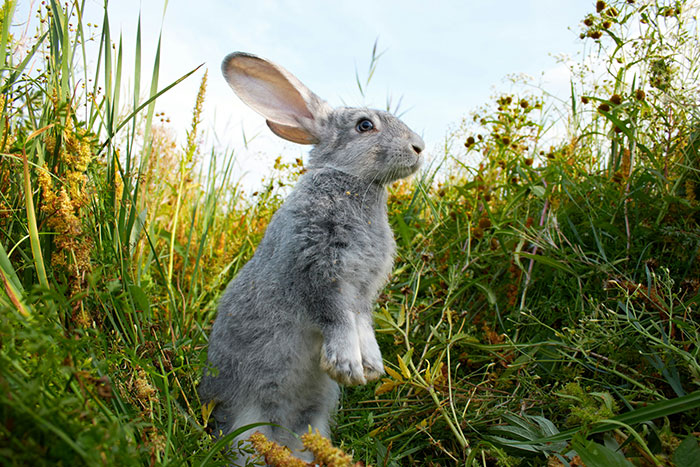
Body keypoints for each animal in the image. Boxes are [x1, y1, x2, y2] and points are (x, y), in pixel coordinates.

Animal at [198, 52, 424, 464]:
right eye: (364, 125)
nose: (419, 147)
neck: (351, 183)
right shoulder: (318, 271)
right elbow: (336, 318)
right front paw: (347, 366)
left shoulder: (362, 292)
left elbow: (362, 324)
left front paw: (371, 367)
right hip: (246, 425)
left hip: (314, 421)